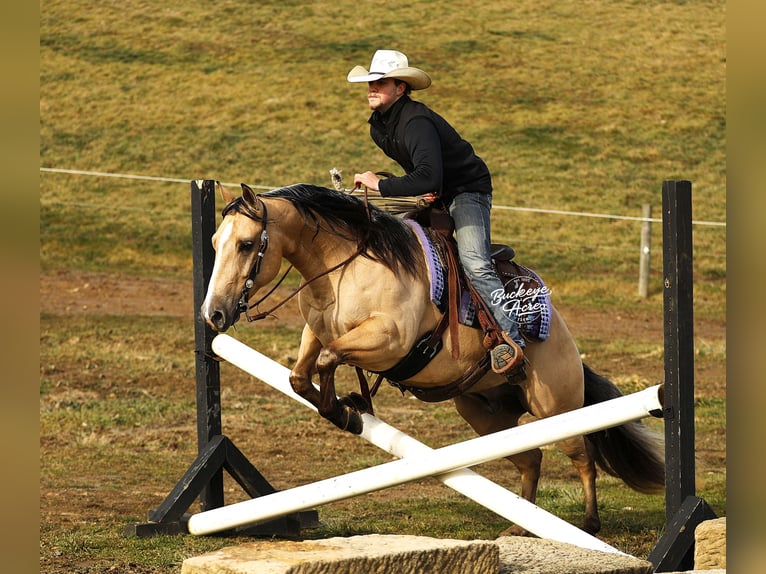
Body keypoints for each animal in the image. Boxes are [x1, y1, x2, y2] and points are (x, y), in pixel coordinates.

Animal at [200, 182, 665, 535]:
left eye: (246, 244)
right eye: (214, 243)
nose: (213, 314)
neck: (342, 266)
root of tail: (565, 339)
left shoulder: (389, 340)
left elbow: (330, 360)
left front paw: (345, 411)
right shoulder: (317, 331)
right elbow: (301, 376)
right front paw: (348, 408)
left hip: (555, 407)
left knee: (582, 454)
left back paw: (588, 523)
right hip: (485, 415)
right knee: (531, 458)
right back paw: (520, 526)